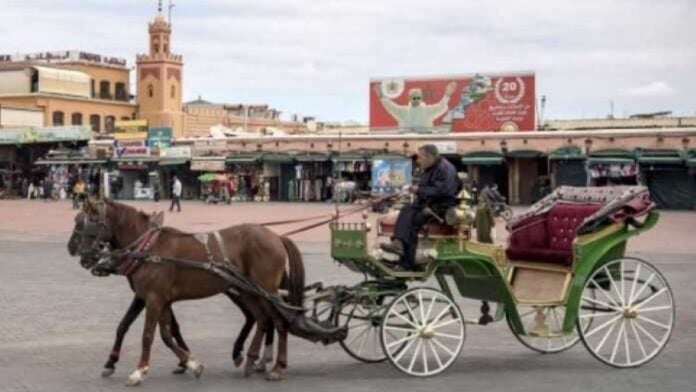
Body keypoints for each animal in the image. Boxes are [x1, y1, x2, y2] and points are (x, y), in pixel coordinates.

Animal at [76, 199, 304, 386]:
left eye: (92, 221)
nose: (84, 257)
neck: (149, 249)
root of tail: (276, 236)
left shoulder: (154, 299)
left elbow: (148, 335)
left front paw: (139, 371)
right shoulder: (160, 299)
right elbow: (166, 334)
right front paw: (192, 364)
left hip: (267, 290)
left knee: (279, 322)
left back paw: (277, 367)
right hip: (249, 291)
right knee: (262, 320)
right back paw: (251, 359)